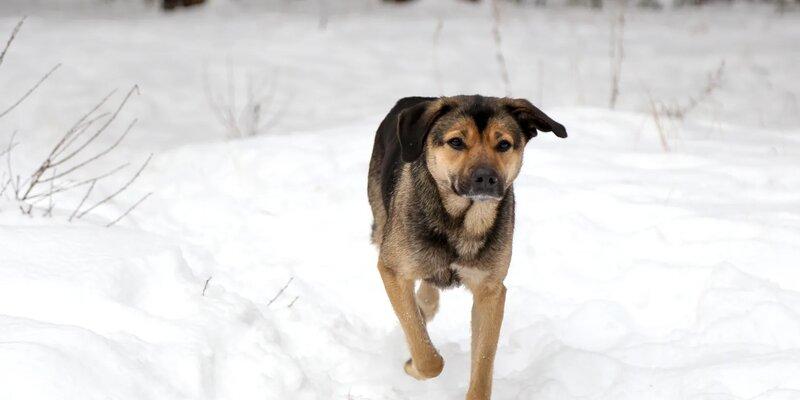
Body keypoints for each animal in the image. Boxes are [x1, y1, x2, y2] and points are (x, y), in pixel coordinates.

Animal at [366, 95, 564, 398]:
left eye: (503, 144)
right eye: (457, 142)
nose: (486, 178)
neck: (461, 222)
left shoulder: (490, 292)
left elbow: (483, 364)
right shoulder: (391, 269)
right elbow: (427, 356)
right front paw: (412, 365)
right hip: (381, 221)